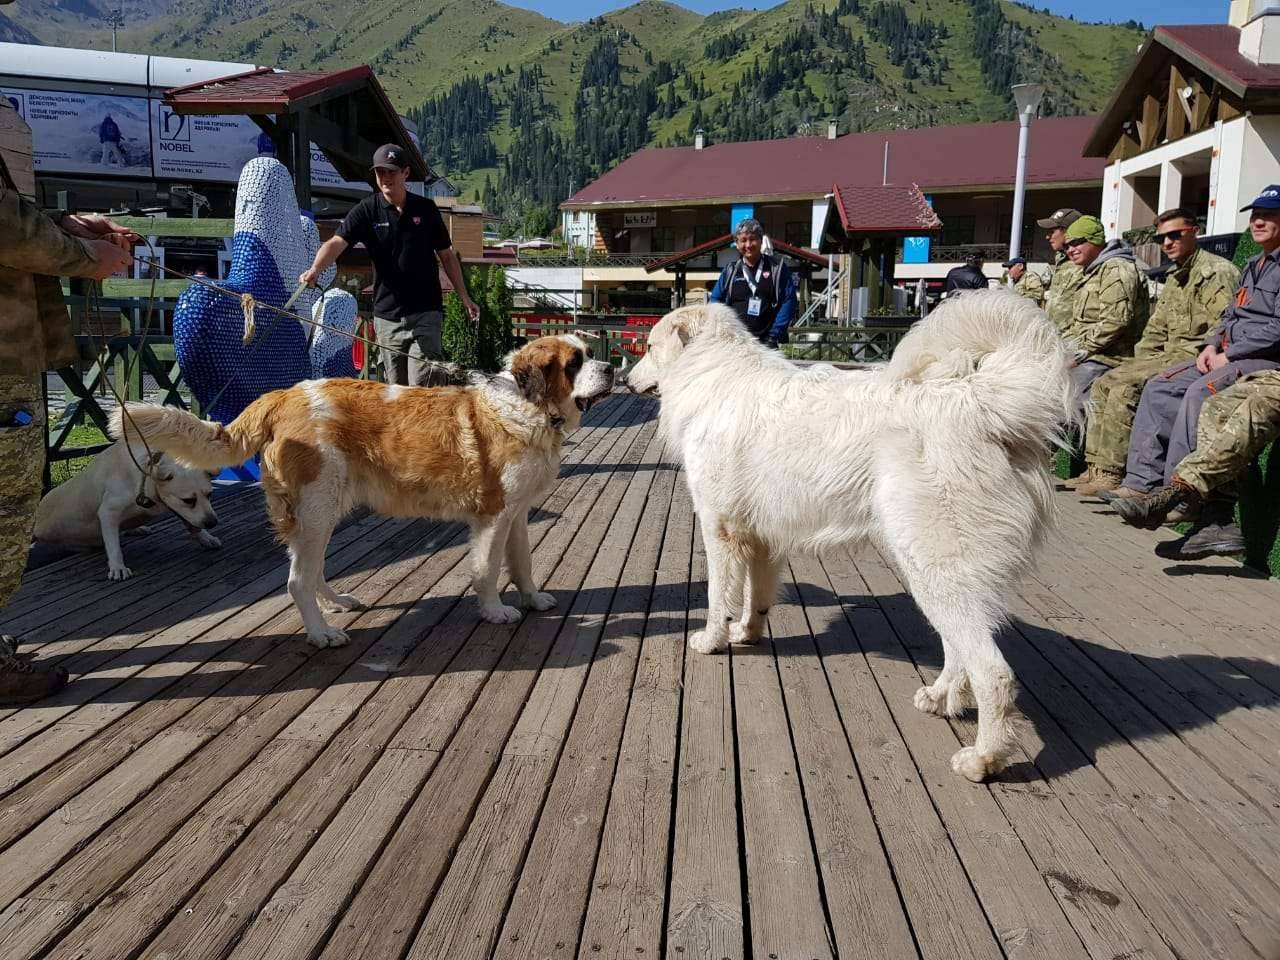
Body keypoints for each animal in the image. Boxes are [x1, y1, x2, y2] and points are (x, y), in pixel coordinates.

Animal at [33, 435, 222, 578]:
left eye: (209, 495)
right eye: (188, 500)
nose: (212, 523)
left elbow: (192, 524)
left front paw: (205, 537)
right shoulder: (108, 512)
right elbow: (114, 546)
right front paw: (118, 567)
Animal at [624, 293, 1075, 783]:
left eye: (649, 347)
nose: (626, 381)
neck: (712, 374)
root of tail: (976, 403)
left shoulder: (718, 528)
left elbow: (716, 596)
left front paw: (712, 641)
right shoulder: (760, 537)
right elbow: (754, 597)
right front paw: (746, 633)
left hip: (934, 569)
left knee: (993, 673)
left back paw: (982, 759)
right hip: (937, 576)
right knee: (958, 650)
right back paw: (938, 699)